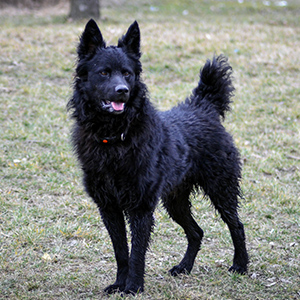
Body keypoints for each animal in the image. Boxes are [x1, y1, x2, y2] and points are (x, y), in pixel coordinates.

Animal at [67, 19, 248, 296]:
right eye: (104, 73)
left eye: (127, 73)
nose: (122, 91)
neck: (115, 137)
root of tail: (203, 105)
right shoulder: (109, 207)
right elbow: (121, 252)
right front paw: (120, 284)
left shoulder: (140, 208)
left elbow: (137, 253)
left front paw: (133, 287)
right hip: (175, 200)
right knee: (196, 232)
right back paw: (184, 267)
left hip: (221, 189)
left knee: (236, 226)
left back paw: (240, 265)